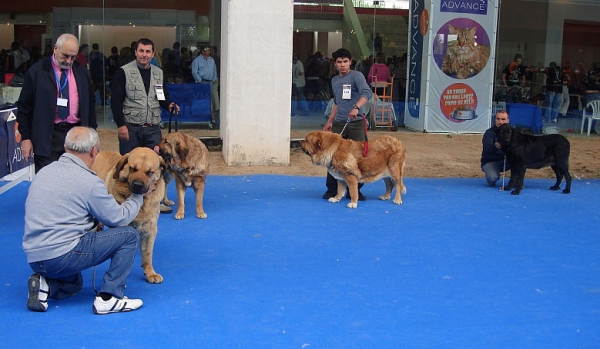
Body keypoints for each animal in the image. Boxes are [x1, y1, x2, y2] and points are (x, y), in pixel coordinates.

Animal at [89, 147, 165, 282]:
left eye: (150, 172)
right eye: (132, 168)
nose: (137, 185)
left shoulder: (150, 229)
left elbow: (147, 254)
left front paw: (150, 273)